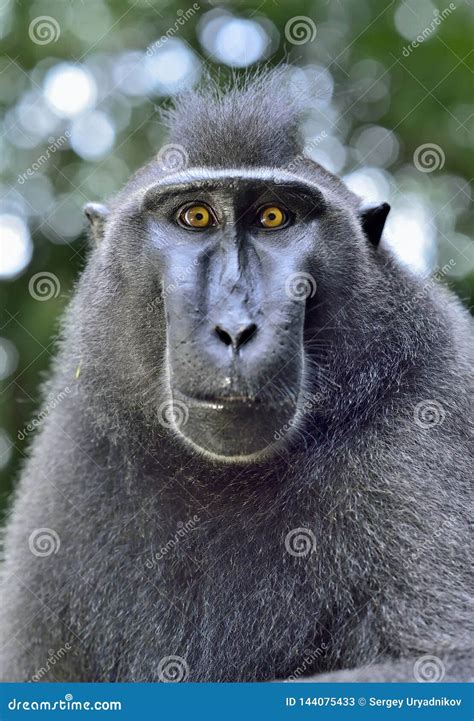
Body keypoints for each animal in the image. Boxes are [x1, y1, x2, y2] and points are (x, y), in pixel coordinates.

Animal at [0, 69, 472, 683]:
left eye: (274, 218)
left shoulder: (425, 415)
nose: (235, 328)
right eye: (194, 217)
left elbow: (439, 662)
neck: (217, 478)